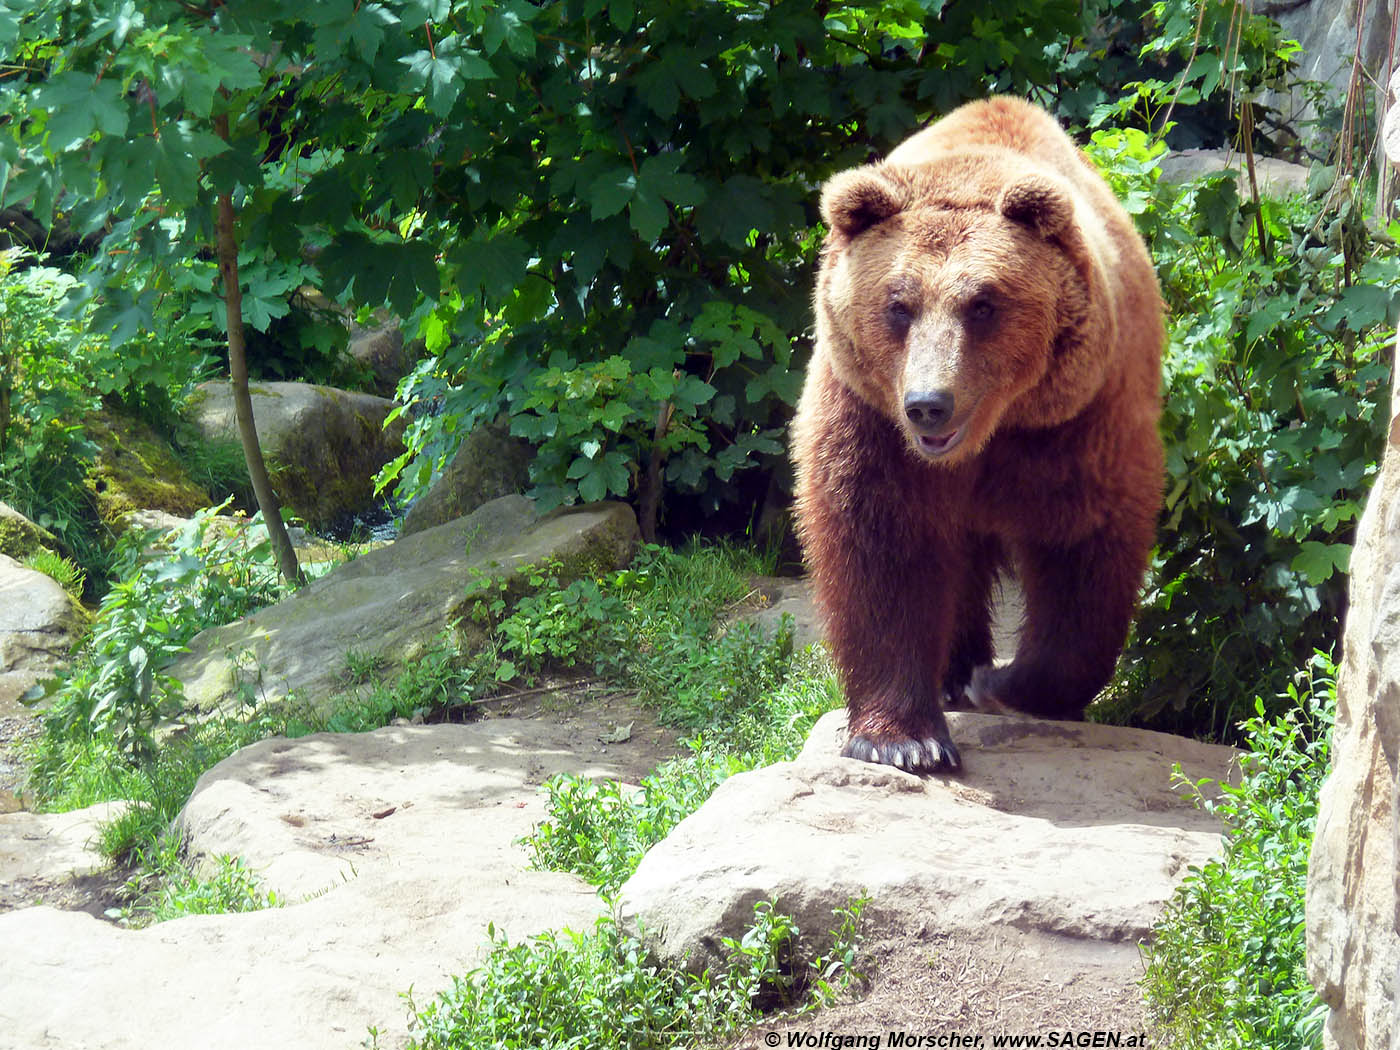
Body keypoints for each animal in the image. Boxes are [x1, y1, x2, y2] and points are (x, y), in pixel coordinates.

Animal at [795, 98, 1164, 772]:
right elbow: (881, 546)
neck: (989, 435)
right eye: (898, 304)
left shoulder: (1077, 420)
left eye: (984, 304)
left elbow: (1084, 548)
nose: (928, 405)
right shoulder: (870, 418)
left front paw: (1008, 684)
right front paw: (905, 739)